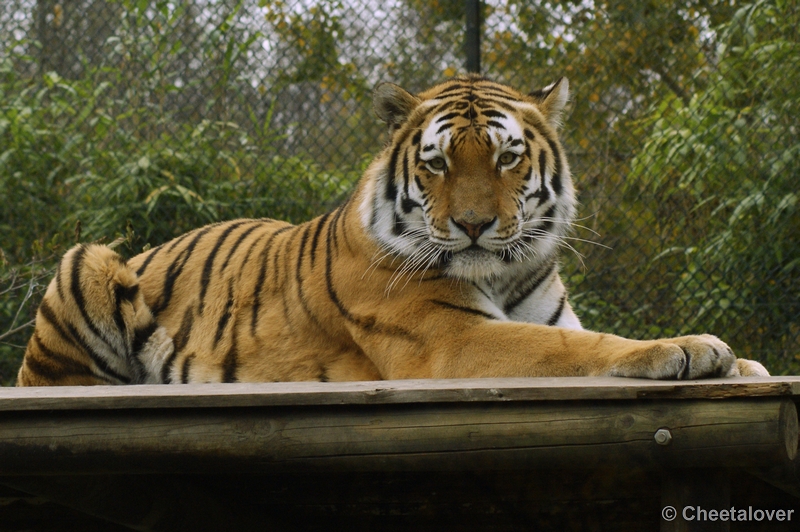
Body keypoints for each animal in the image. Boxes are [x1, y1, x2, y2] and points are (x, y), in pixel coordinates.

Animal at [15, 76, 768, 386]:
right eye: (436, 163)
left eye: (507, 157)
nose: (473, 225)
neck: (507, 271)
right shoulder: (452, 340)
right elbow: (571, 349)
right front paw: (689, 348)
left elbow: (574, 335)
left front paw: (746, 364)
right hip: (83, 261)